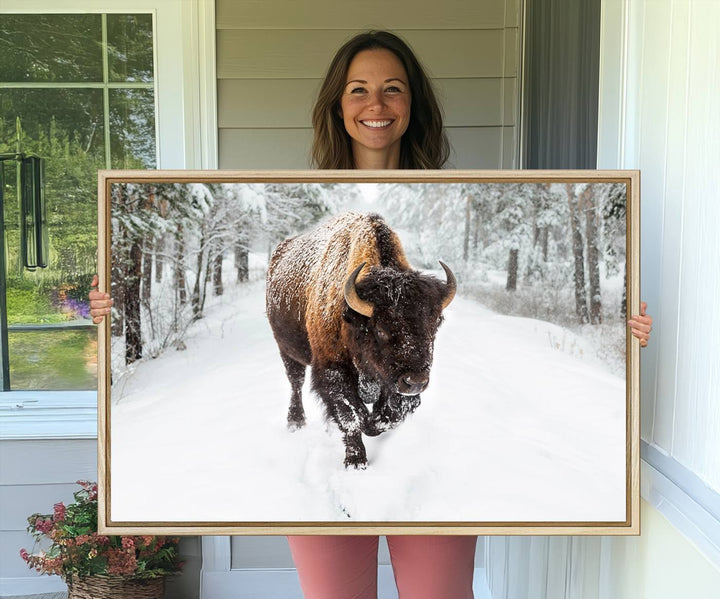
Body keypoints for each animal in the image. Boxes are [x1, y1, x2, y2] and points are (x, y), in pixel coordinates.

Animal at [264, 211, 456, 468]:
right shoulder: (333, 370)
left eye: (435, 326)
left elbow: (389, 415)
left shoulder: (390, 381)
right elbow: (351, 416)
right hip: (286, 350)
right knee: (296, 382)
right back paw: (295, 421)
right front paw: (356, 461)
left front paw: (373, 424)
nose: (415, 382)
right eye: (381, 330)